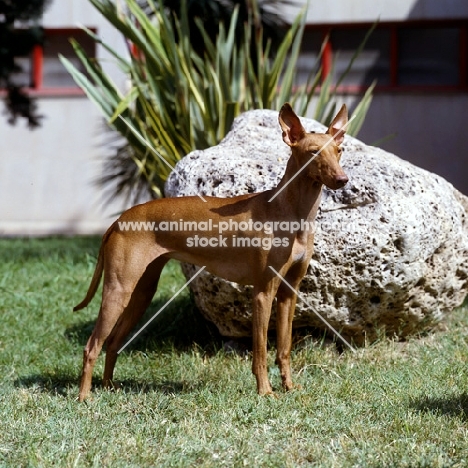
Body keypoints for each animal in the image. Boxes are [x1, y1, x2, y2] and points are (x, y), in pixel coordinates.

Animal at [75, 104, 350, 400]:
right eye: (314, 152)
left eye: (339, 150)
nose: (342, 180)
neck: (291, 213)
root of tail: (119, 220)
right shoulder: (263, 292)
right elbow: (261, 350)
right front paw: (265, 391)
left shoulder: (289, 291)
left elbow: (284, 347)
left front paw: (288, 387)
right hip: (118, 289)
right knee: (92, 345)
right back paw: (85, 397)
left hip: (141, 293)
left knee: (113, 342)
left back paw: (108, 387)